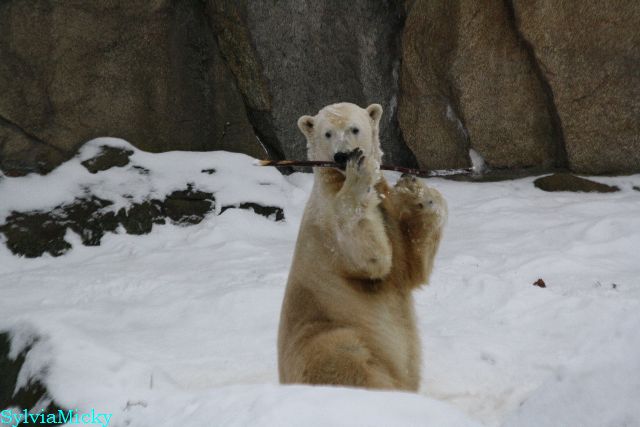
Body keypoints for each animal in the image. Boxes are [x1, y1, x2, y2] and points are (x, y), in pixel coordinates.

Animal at [277, 102, 447, 391]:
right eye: (327, 133)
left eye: (354, 129)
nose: (343, 155)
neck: (336, 180)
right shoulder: (330, 228)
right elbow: (371, 256)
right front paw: (360, 177)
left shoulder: (390, 217)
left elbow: (412, 265)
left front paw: (416, 189)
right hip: (329, 334)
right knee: (349, 359)